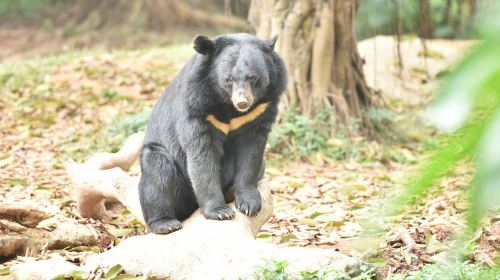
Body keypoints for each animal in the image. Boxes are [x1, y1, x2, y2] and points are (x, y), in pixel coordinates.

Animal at [139, 32, 288, 234]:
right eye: (228, 79)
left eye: (252, 78)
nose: (242, 102)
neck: (228, 107)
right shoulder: (198, 107)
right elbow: (203, 156)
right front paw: (220, 212)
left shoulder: (261, 110)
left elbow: (251, 153)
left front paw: (249, 204)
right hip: (163, 160)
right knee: (156, 174)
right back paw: (166, 223)